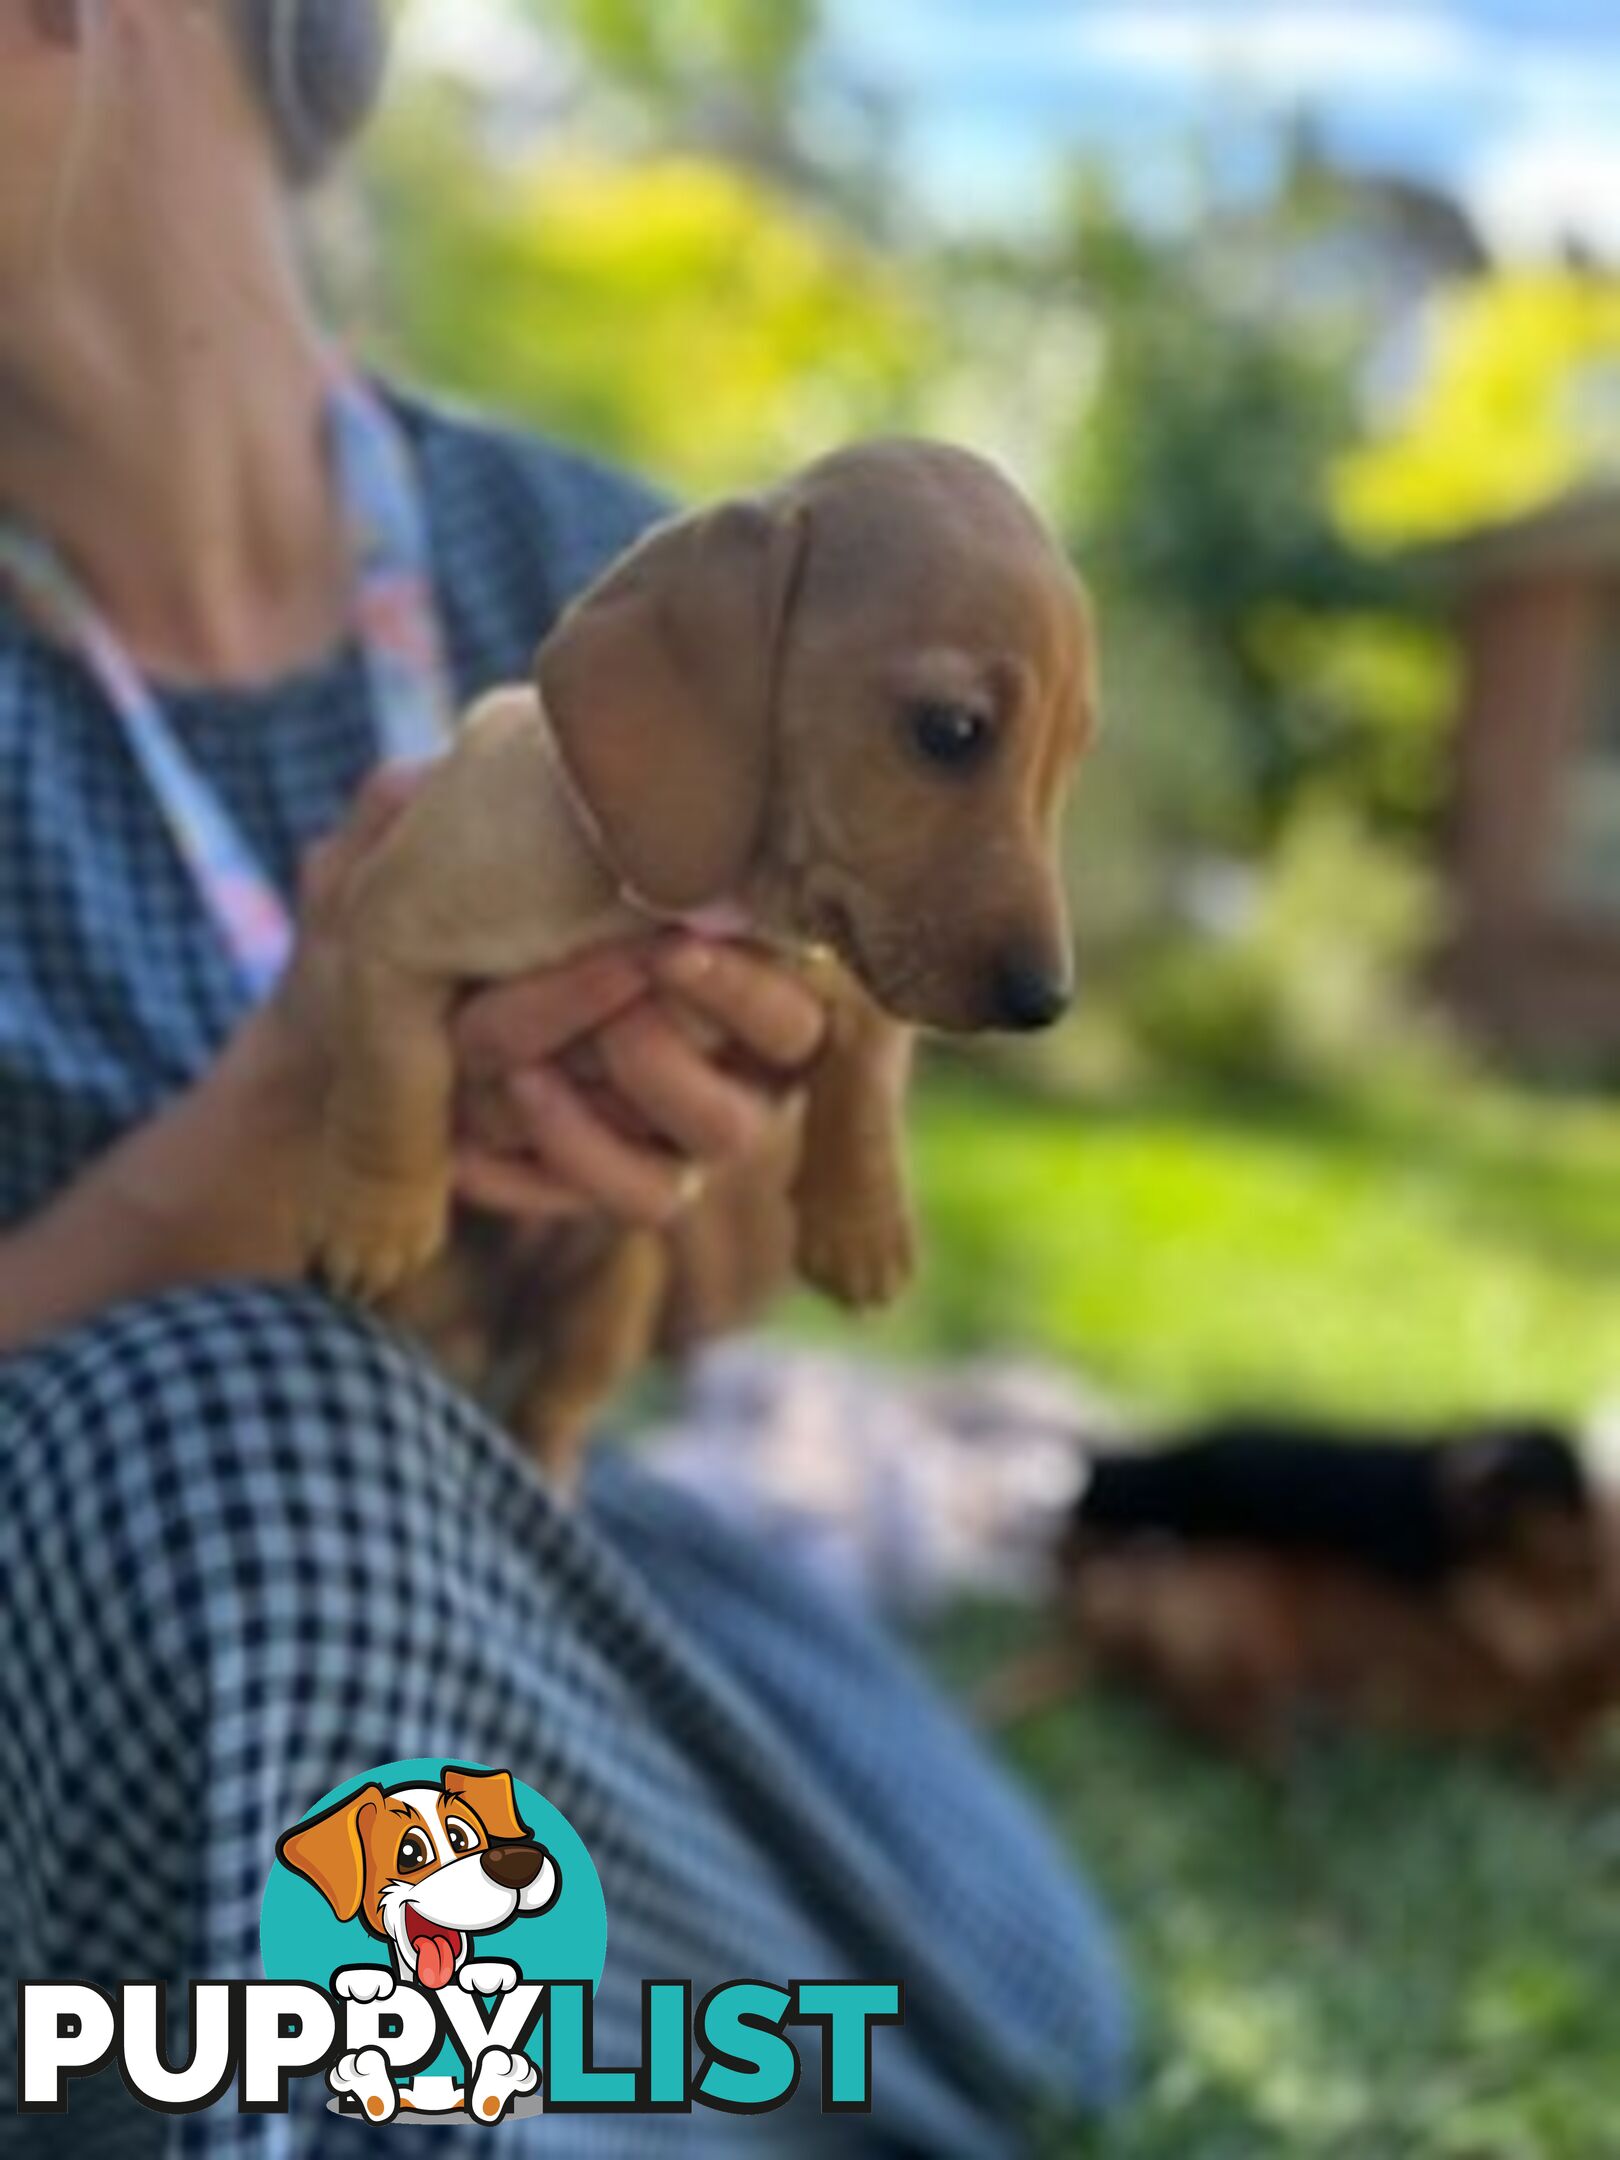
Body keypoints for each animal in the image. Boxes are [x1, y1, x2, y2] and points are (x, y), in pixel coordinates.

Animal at [304, 438, 1097, 1486]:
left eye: (1070, 758)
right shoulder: (388, 929)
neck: (717, 904)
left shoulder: (855, 974)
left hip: (617, 1292)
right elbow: (394, 1074)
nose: (1047, 1001)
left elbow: (863, 1086)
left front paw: (861, 1223)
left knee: (552, 1414)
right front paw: (376, 1216)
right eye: (952, 729)